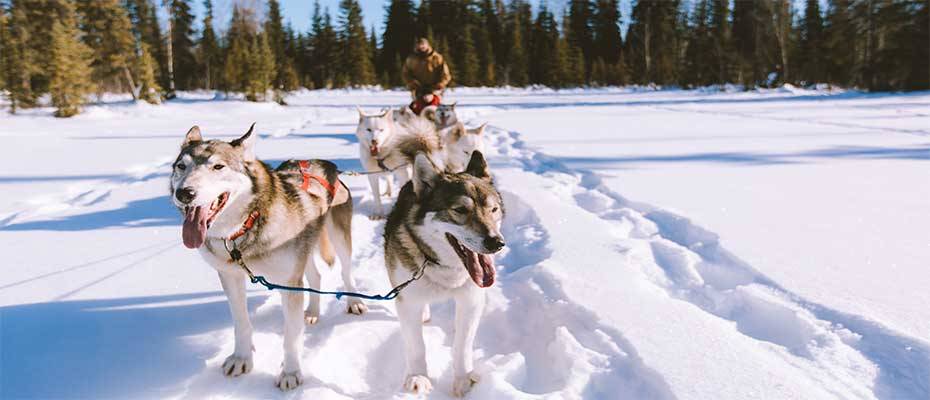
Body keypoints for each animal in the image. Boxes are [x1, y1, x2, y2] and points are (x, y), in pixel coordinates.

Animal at [169, 124, 364, 390]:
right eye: (181, 166)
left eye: (218, 166)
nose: (184, 193)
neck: (245, 227)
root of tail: (324, 163)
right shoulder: (230, 277)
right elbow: (241, 322)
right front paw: (241, 358)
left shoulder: (289, 283)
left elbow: (291, 336)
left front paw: (290, 372)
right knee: (315, 276)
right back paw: (313, 312)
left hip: (338, 237)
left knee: (345, 270)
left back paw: (354, 301)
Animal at [380, 151, 504, 396]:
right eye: (460, 210)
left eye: (493, 210)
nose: (497, 242)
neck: (444, 268)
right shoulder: (408, 301)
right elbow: (416, 345)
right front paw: (418, 376)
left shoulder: (471, 298)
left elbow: (463, 344)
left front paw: (463, 378)